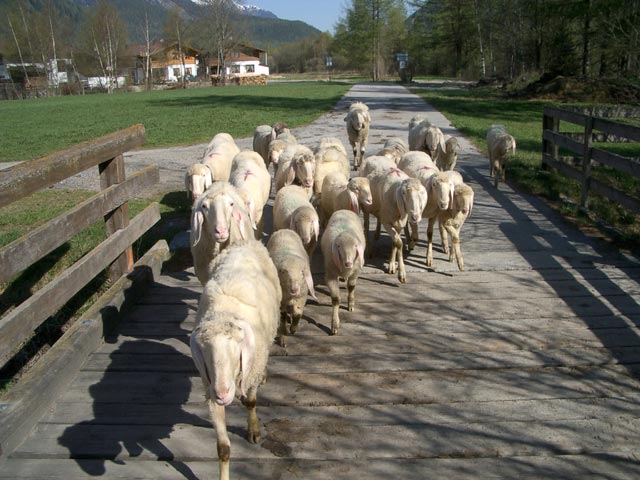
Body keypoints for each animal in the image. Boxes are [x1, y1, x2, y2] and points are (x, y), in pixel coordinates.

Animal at [190, 240, 281, 480]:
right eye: (204, 353)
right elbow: (223, 449)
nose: (223, 393)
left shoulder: (252, 369)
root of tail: (245, 242)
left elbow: (250, 402)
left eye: (236, 350)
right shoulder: (210, 390)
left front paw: (254, 430)